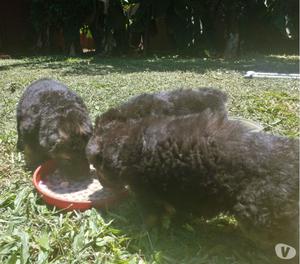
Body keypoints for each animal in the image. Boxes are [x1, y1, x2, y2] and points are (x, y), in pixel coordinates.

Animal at [85, 87, 298, 251]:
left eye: (97, 167)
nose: (99, 185)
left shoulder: (146, 192)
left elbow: (151, 216)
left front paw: (145, 232)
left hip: (256, 212)